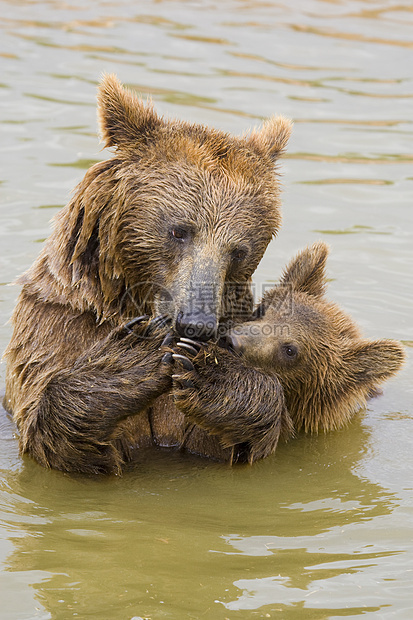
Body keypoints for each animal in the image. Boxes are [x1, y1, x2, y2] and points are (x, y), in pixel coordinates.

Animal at [4, 72, 292, 474]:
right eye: (179, 231)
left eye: (238, 251)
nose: (196, 324)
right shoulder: (58, 324)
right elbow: (48, 429)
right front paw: (138, 353)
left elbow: (243, 433)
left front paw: (211, 374)